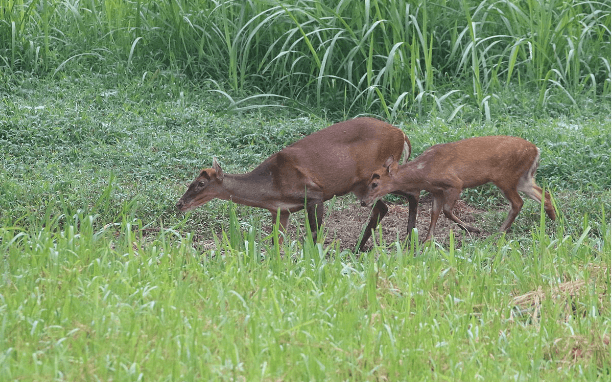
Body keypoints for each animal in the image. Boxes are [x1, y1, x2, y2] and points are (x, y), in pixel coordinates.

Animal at [175, 118, 418, 252]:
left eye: (200, 183)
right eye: (190, 182)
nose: (179, 204)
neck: (272, 186)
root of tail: (403, 135)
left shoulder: (315, 193)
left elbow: (315, 233)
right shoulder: (281, 211)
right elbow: (277, 241)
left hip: (375, 176)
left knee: (408, 194)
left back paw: (409, 240)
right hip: (360, 185)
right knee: (386, 205)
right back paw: (361, 247)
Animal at [360, 135, 556, 242]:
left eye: (375, 184)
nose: (363, 202)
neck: (423, 172)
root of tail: (536, 150)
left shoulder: (455, 183)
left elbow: (446, 211)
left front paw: (472, 229)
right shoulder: (436, 191)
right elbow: (434, 213)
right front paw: (427, 241)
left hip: (504, 176)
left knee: (518, 202)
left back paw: (498, 233)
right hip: (523, 178)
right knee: (544, 195)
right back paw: (555, 222)